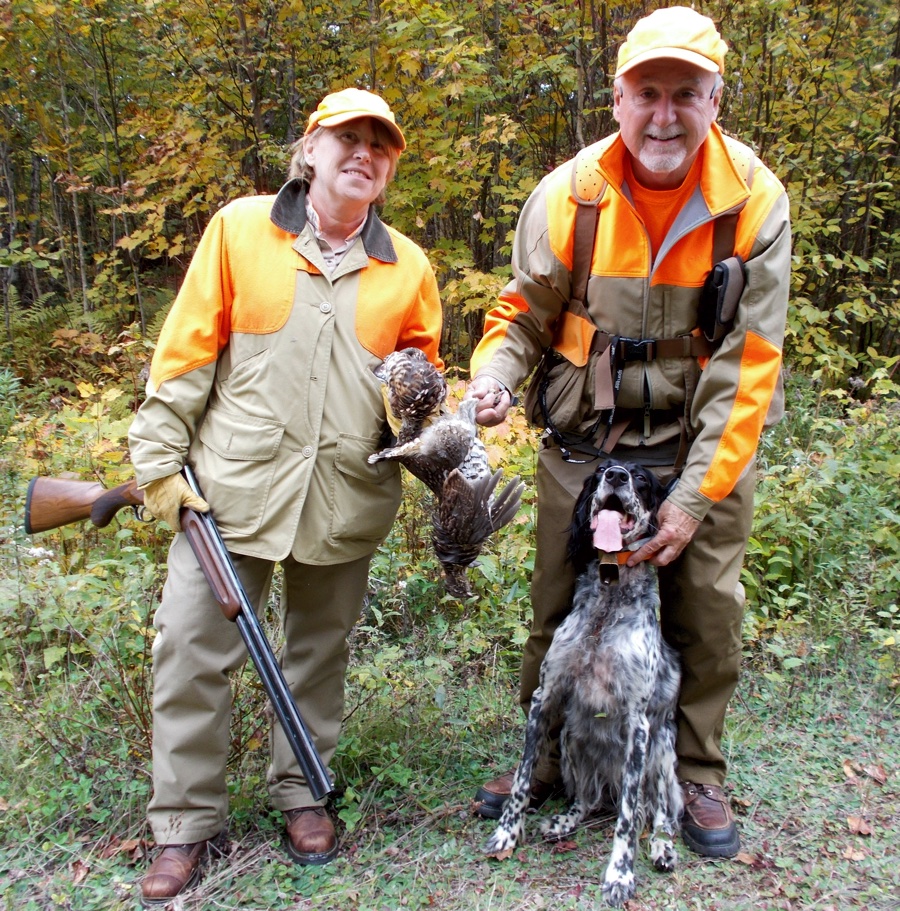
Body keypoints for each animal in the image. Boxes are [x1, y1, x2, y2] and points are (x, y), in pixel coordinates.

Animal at [486, 460, 684, 908]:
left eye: (642, 478)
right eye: (599, 473)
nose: (616, 476)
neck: (608, 602)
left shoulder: (639, 724)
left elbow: (628, 818)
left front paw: (620, 875)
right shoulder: (545, 697)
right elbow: (522, 778)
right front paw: (507, 832)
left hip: (662, 750)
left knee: (659, 812)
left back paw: (662, 847)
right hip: (572, 738)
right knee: (588, 799)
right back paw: (564, 822)